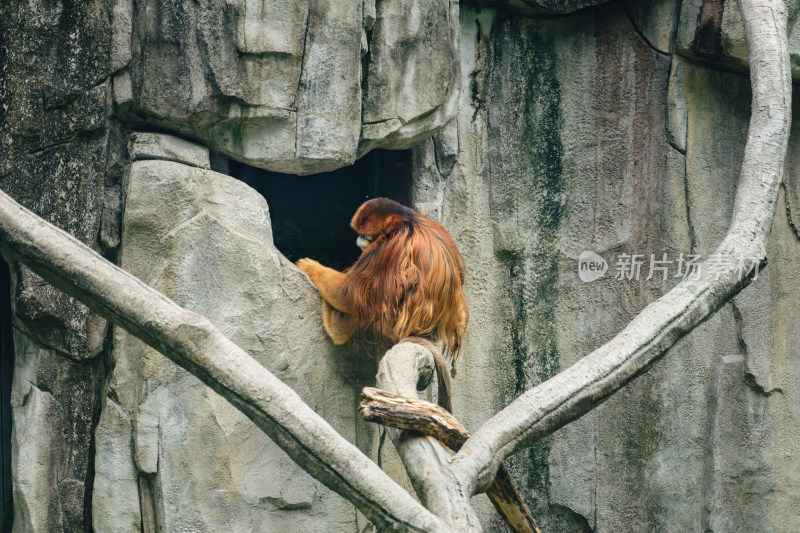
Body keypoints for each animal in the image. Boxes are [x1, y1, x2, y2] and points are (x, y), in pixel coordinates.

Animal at [296, 197, 468, 376]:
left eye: (366, 235)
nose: (359, 238)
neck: (407, 221)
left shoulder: (387, 245)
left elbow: (347, 295)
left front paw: (310, 267)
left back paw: (337, 330)